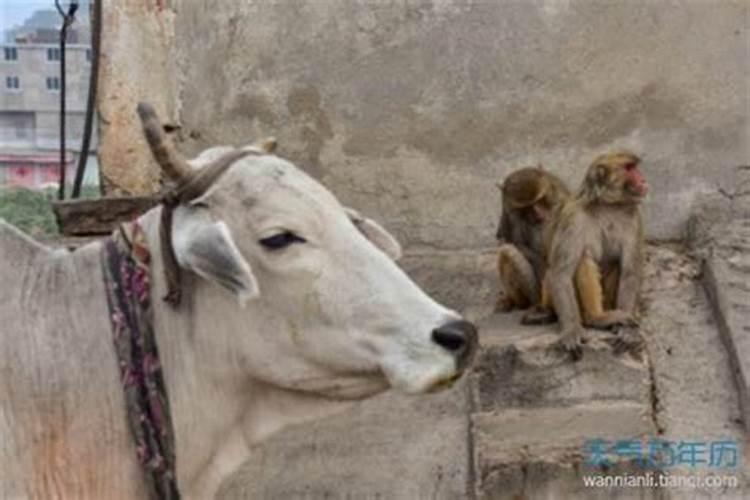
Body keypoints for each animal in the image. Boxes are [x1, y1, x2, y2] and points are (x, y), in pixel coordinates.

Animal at [496, 167, 572, 312]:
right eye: (526, 207)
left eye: (539, 200)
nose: (538, 213)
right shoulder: (510, 213)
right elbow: (515, 243)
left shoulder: (560, 197)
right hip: (536, 295)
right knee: (507, 251)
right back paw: (517, 302)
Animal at [536, 150, 652, 358]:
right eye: (629, 168)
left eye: (634, 167)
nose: (642, 179)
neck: (607, 205)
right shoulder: (573, 217)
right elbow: (561, 274)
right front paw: (571, 329)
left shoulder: (633, 216)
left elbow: (630, 271)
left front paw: (628, 331)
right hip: (549, 296)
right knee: (583, 258)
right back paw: (596, 318)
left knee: (616, 263)